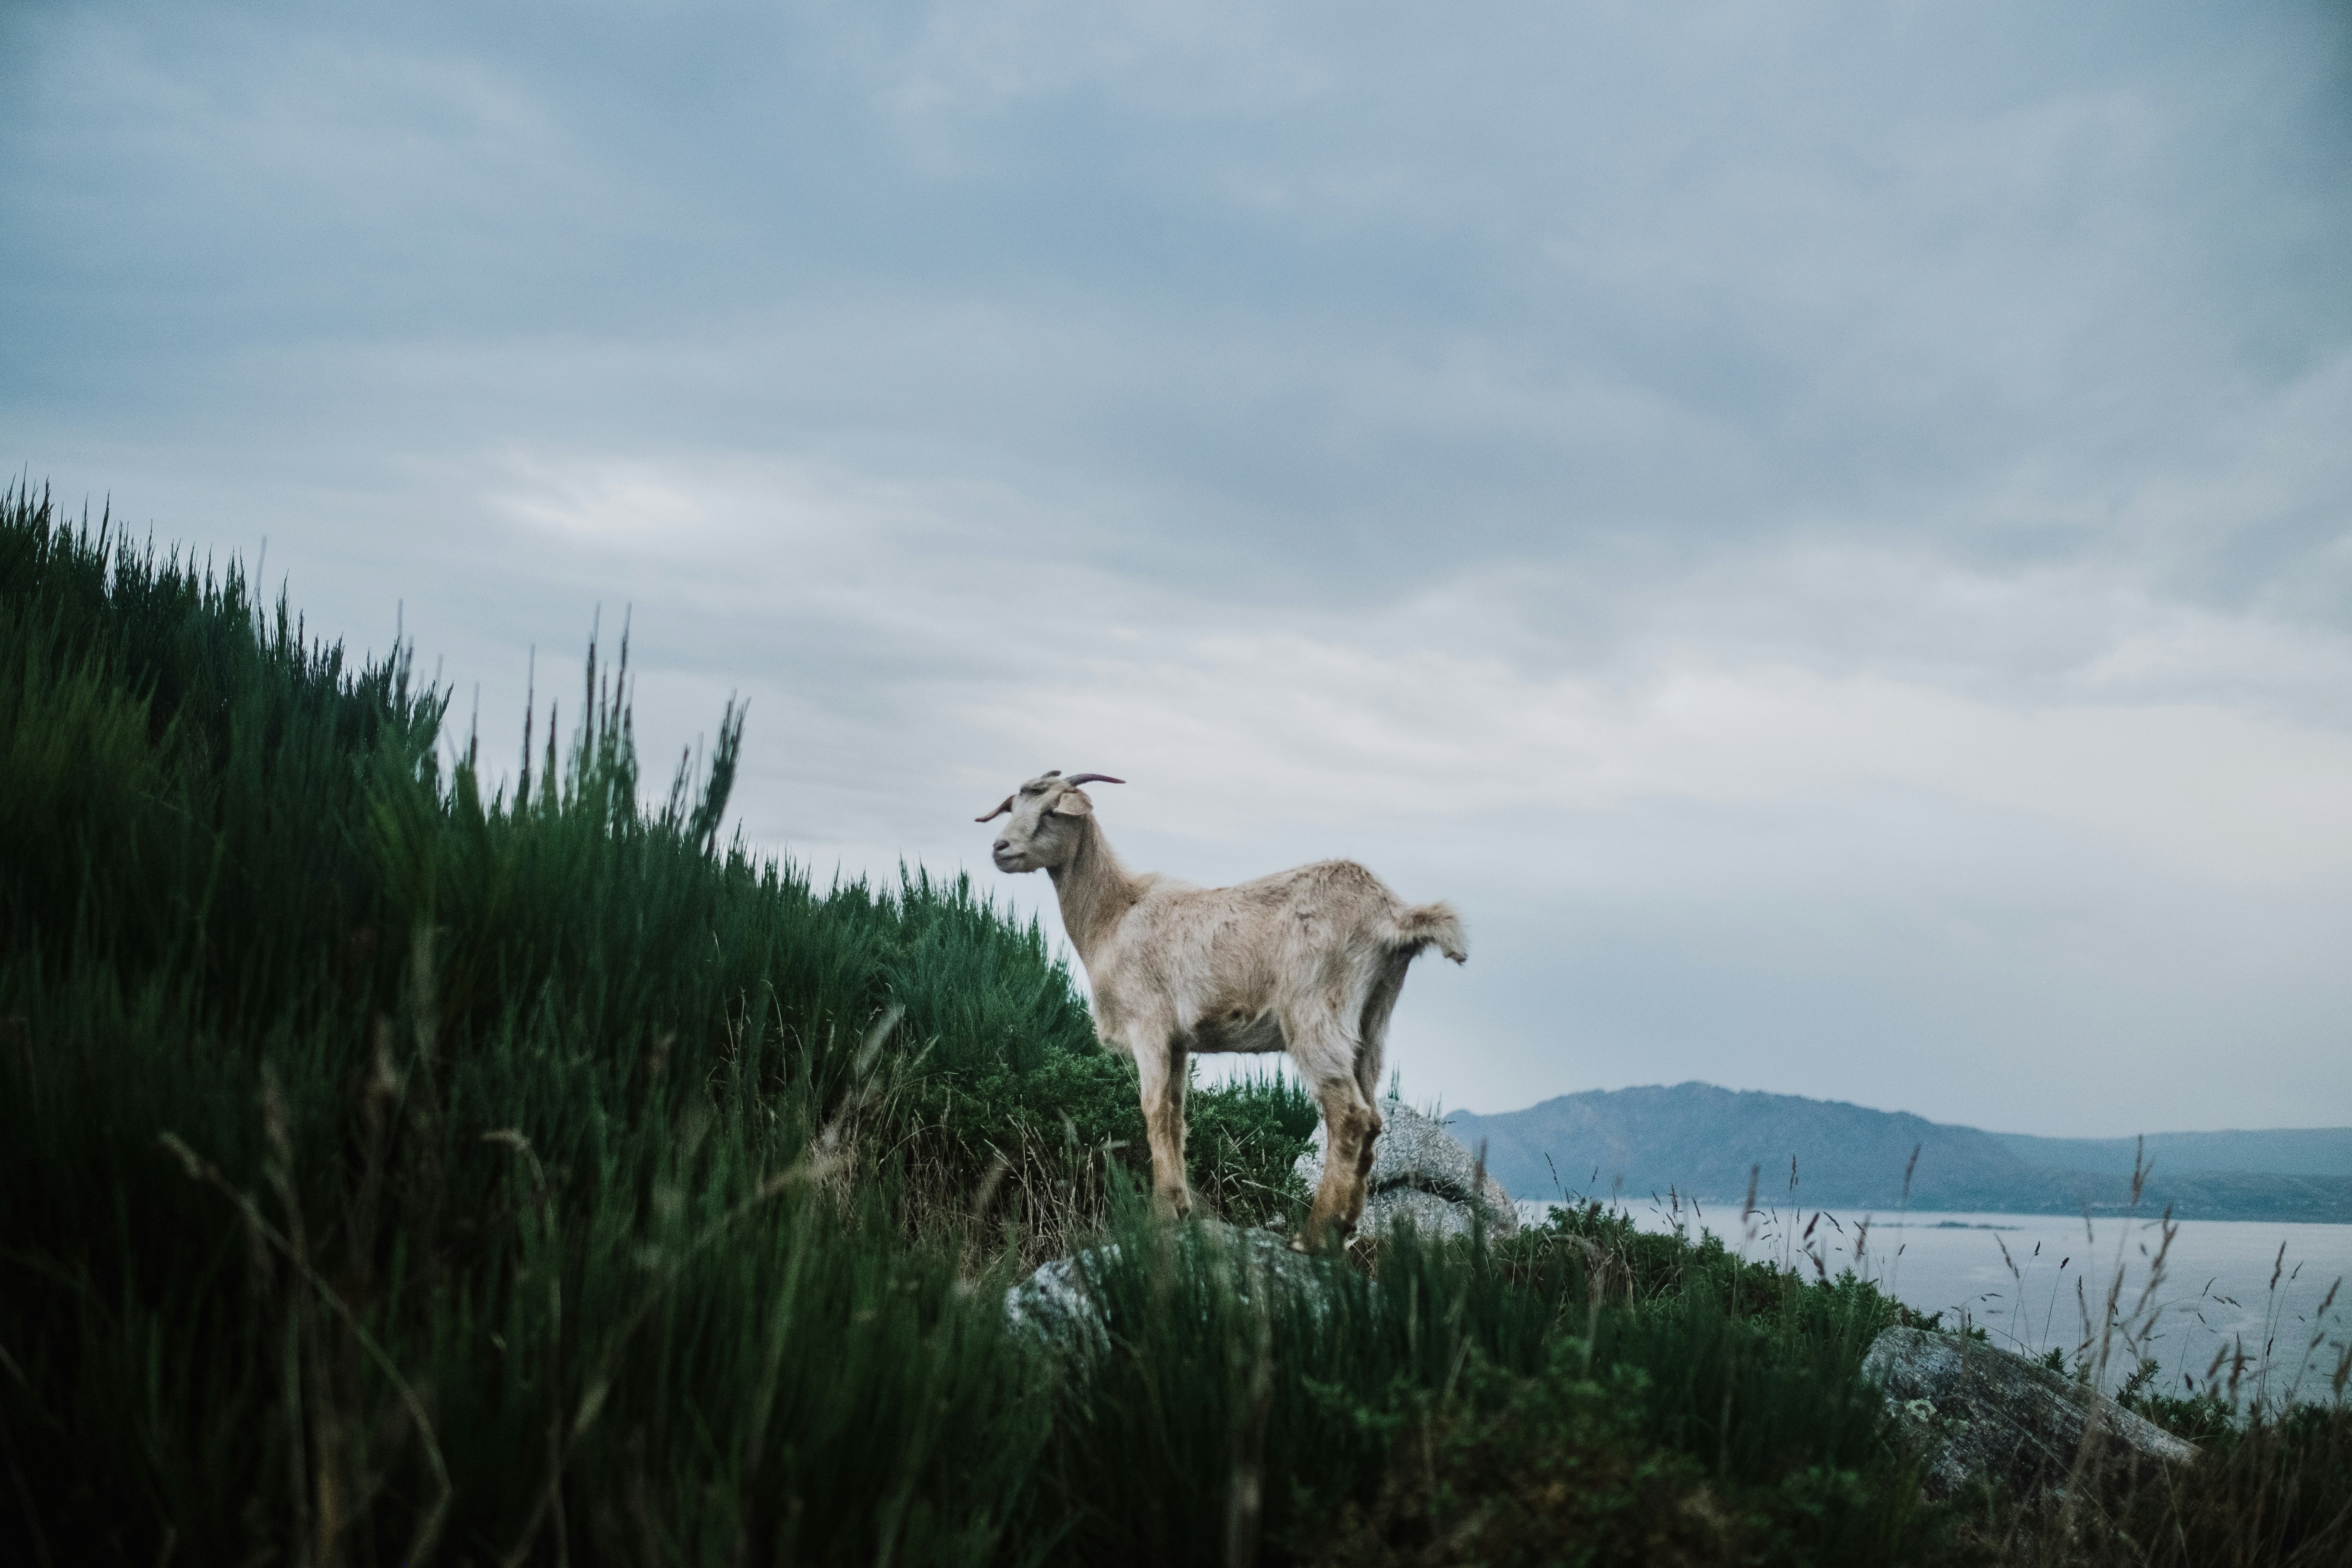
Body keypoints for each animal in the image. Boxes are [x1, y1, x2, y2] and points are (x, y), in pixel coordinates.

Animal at [969, 766, 1448, 1241]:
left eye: (1053, 811)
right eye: (1014, 806)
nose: (1000, 848)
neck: (1113, 917)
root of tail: (1392, 916)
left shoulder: (1149, 1027)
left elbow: (1154, 1111)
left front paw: (1161, 1214)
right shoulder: (1178, 1043)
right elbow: (1176, 1114)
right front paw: (1180, 1207)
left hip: (1317, 1013)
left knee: (1348, 1116)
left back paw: (1313, 1236)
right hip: (1372, 1019)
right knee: (1373, 1116)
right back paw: (1344, 1229)